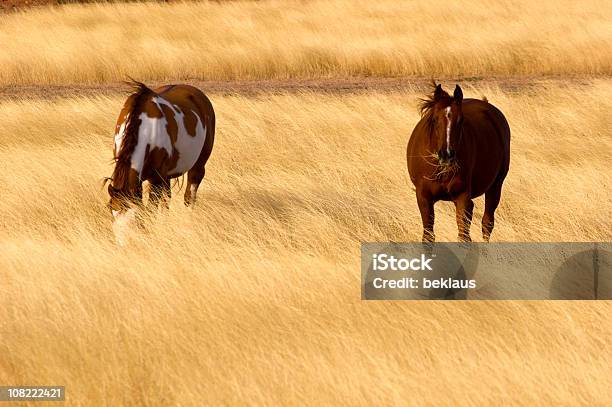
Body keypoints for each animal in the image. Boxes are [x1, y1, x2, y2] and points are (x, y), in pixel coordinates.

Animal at [107, 81, 215, 231]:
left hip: (198, 165)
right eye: (113, 215)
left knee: (190, 195)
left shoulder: (156, 179)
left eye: (137, 220)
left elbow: (150, 211)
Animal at [406, 82, 512, 242]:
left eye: (461, 120)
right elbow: (428, 236)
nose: (447, 155)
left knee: (487, 224)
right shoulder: (424, 199)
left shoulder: (462, 198)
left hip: (495, 186)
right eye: (435, 119)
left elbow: (464, 237)